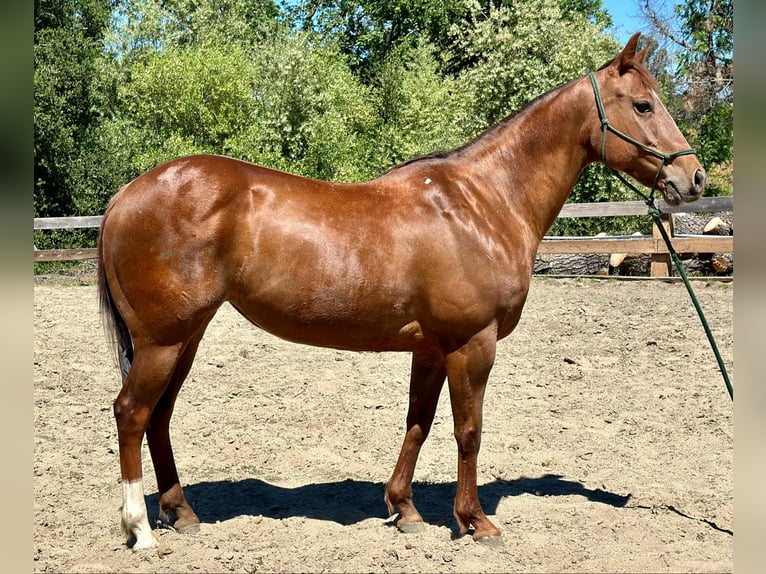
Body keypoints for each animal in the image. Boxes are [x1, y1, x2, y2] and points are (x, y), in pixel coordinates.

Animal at [97, 32, 708, 552]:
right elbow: (468, 430)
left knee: (159, 416)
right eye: (644, 105)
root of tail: (126, 194)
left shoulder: (432, 347)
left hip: (186, 337)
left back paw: (182, 514)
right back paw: (140, 530)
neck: (484, 202)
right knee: (131, 412)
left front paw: (405, 509)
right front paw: (475, 521)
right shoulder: (472, 342)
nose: (696, 179)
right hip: (163, 340)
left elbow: (418, 422)